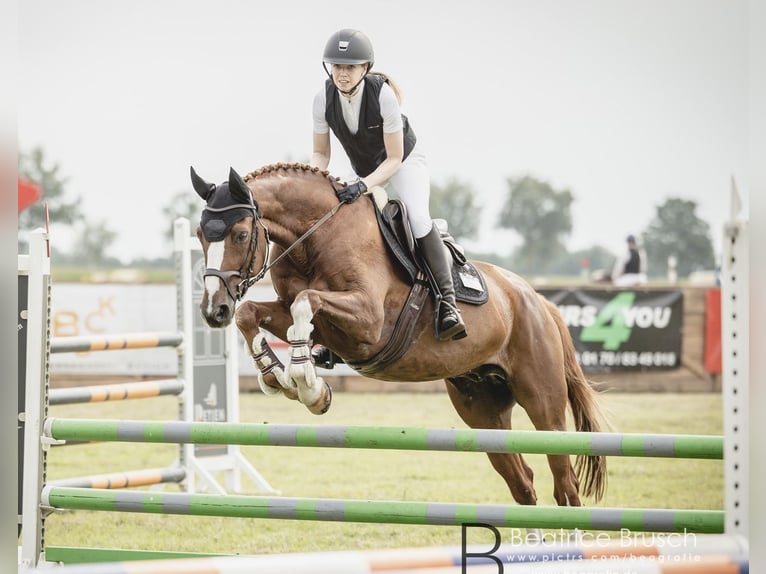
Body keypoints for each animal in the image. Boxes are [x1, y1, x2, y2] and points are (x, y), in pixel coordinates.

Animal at [190, 162, 608, 507]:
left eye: (241, 234)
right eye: (198, 234)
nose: (213, 310)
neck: (316, 238)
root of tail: (538, 300)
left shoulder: (368, 322)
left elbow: (305, 305)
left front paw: (308, 384)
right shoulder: (312, 318)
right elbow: (255, 314)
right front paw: (278, 376)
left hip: (543, 404)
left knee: (565, 482)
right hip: (482, 410)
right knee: (523, 482)